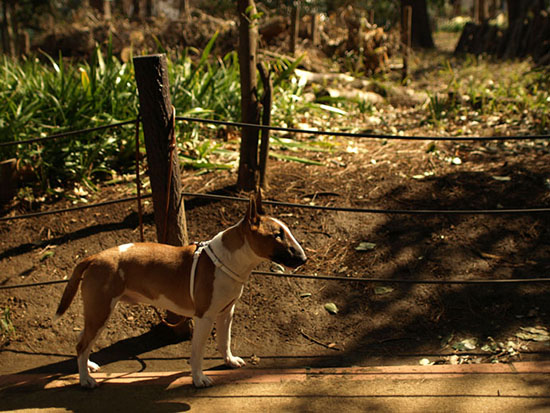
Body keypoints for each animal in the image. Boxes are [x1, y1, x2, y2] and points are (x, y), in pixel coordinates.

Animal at [55, 192, 308, 388]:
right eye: (277, 235)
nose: (304, 259)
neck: (227, 260)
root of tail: (94, 257)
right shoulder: (204, 317)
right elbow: (197, 352)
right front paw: (198, 379)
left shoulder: (227, 312)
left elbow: (224, 340)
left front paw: (229, 361)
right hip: (101, 309)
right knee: (83, 343)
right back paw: (85, 380)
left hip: (96, 311)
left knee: (82, 339)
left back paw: (88, 366)